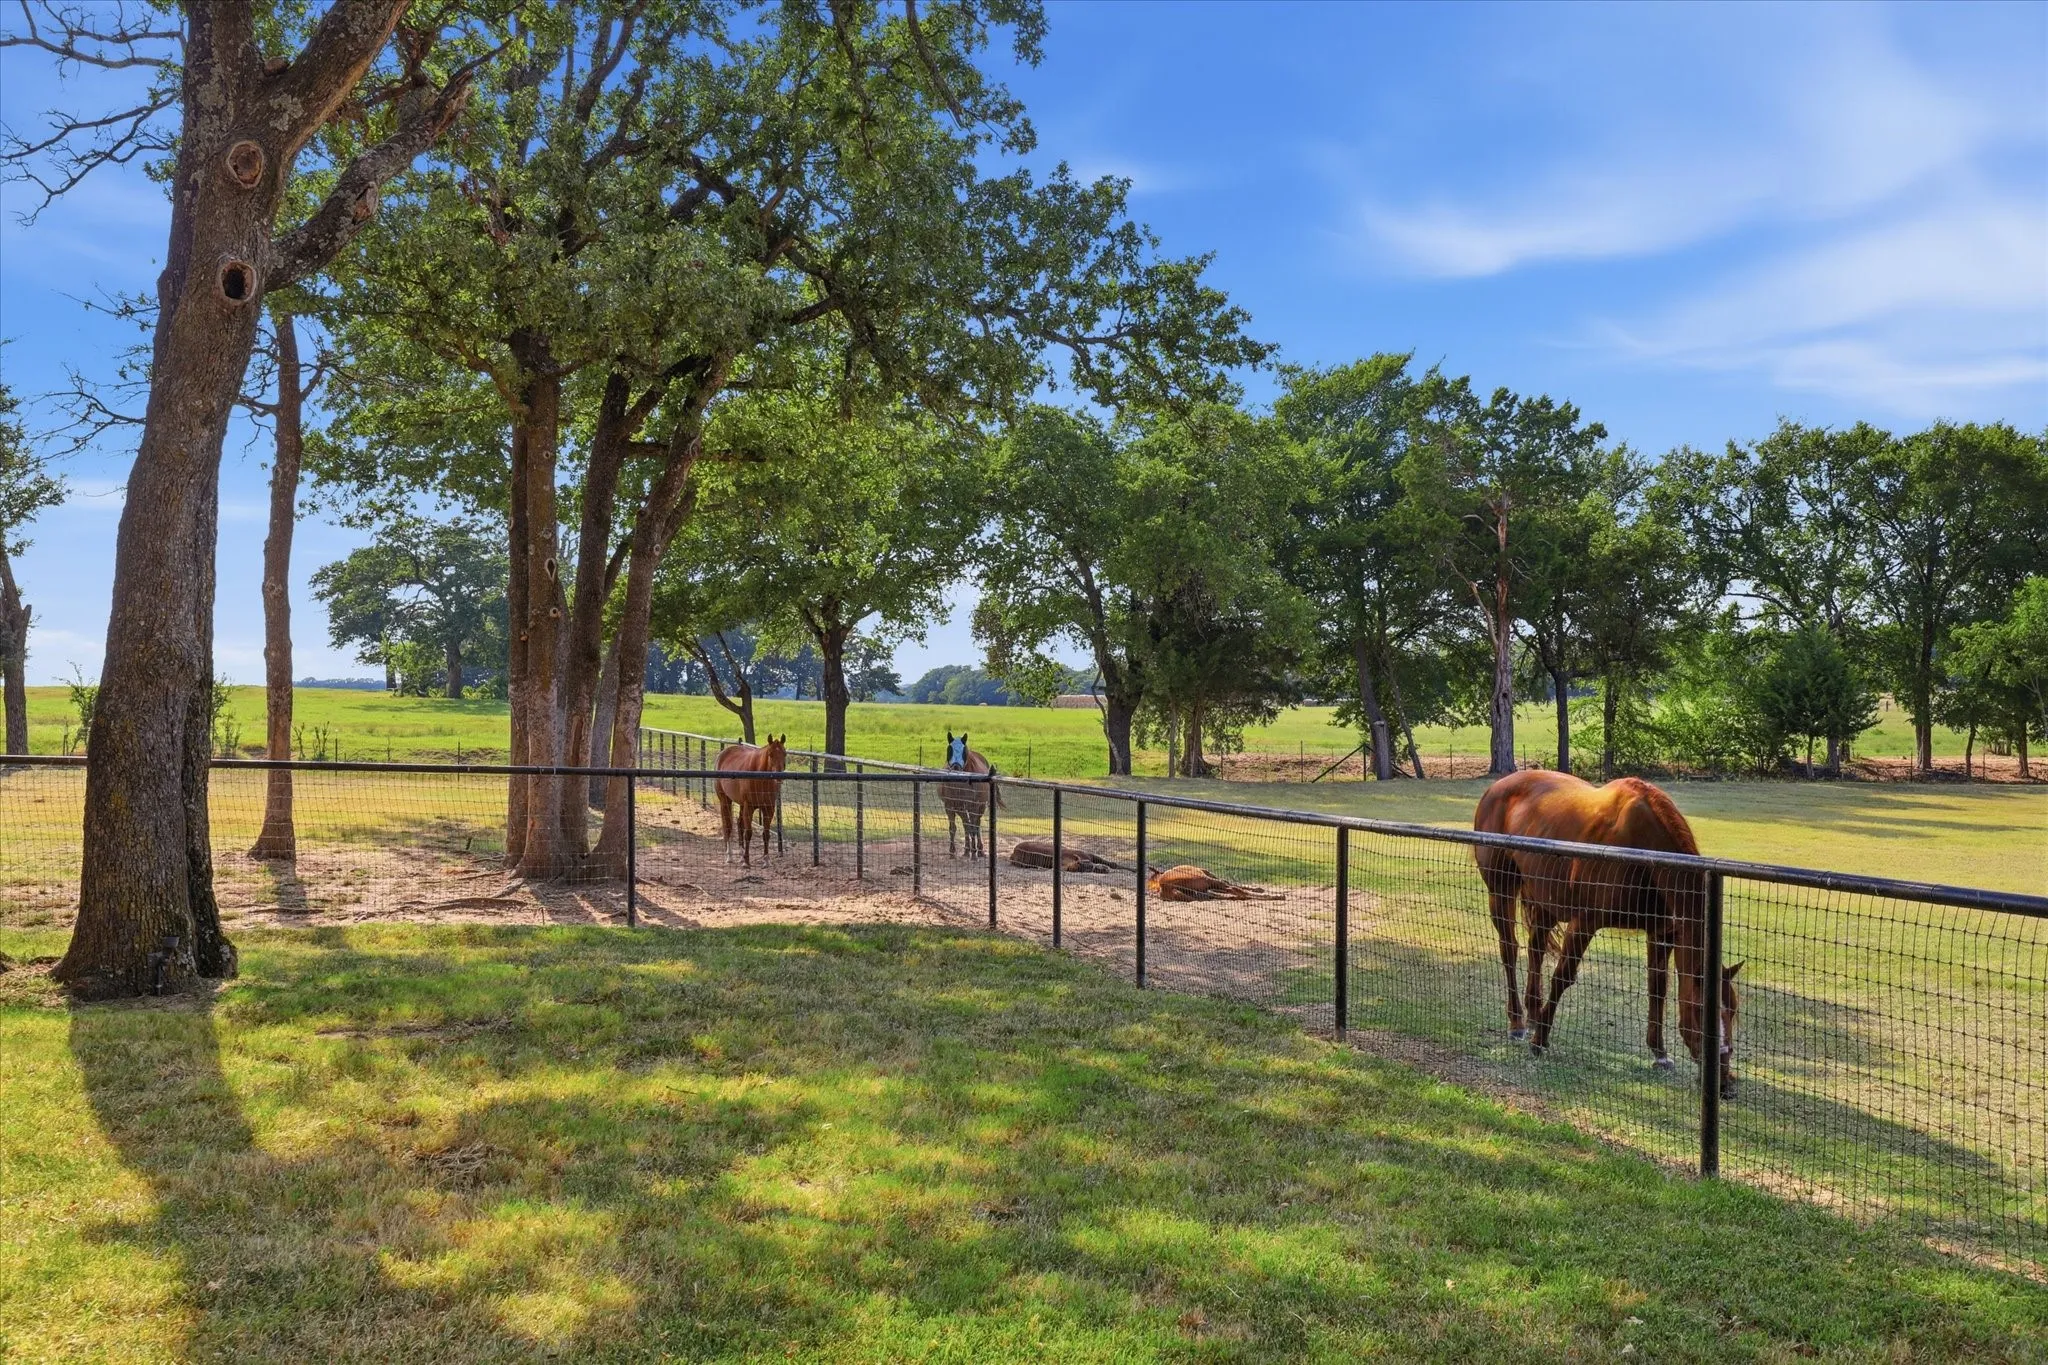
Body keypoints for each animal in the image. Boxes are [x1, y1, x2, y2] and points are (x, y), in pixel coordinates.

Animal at [716, 734, 787, 868]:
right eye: (770, 754)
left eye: (784, 753)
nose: (779, 776)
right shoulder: (749, 807)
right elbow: (748, 833)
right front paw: (747, 862)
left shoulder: (769, 808)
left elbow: (766, 834)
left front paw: (766, 860)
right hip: (725, 800)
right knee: (728, 826)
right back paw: (730, 856)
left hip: (741, 805)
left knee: (739, 824)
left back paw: (741, 854)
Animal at [1473, 769, 1742, 1100]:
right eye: (1702, 1011)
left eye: (1733, 1011)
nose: (1725, 1083)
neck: (1642, 849)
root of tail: (1496, 787)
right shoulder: (1585, 922)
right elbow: (1562, 977)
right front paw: (1540, 1042)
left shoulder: (1662, 932)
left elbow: (1658, 987)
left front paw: (1659, 1053)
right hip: (1501, 889)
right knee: (1509, 950)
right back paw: (1518, 1023)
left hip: (1545, 899)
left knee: (1535, 950)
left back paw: (1534, 1013)